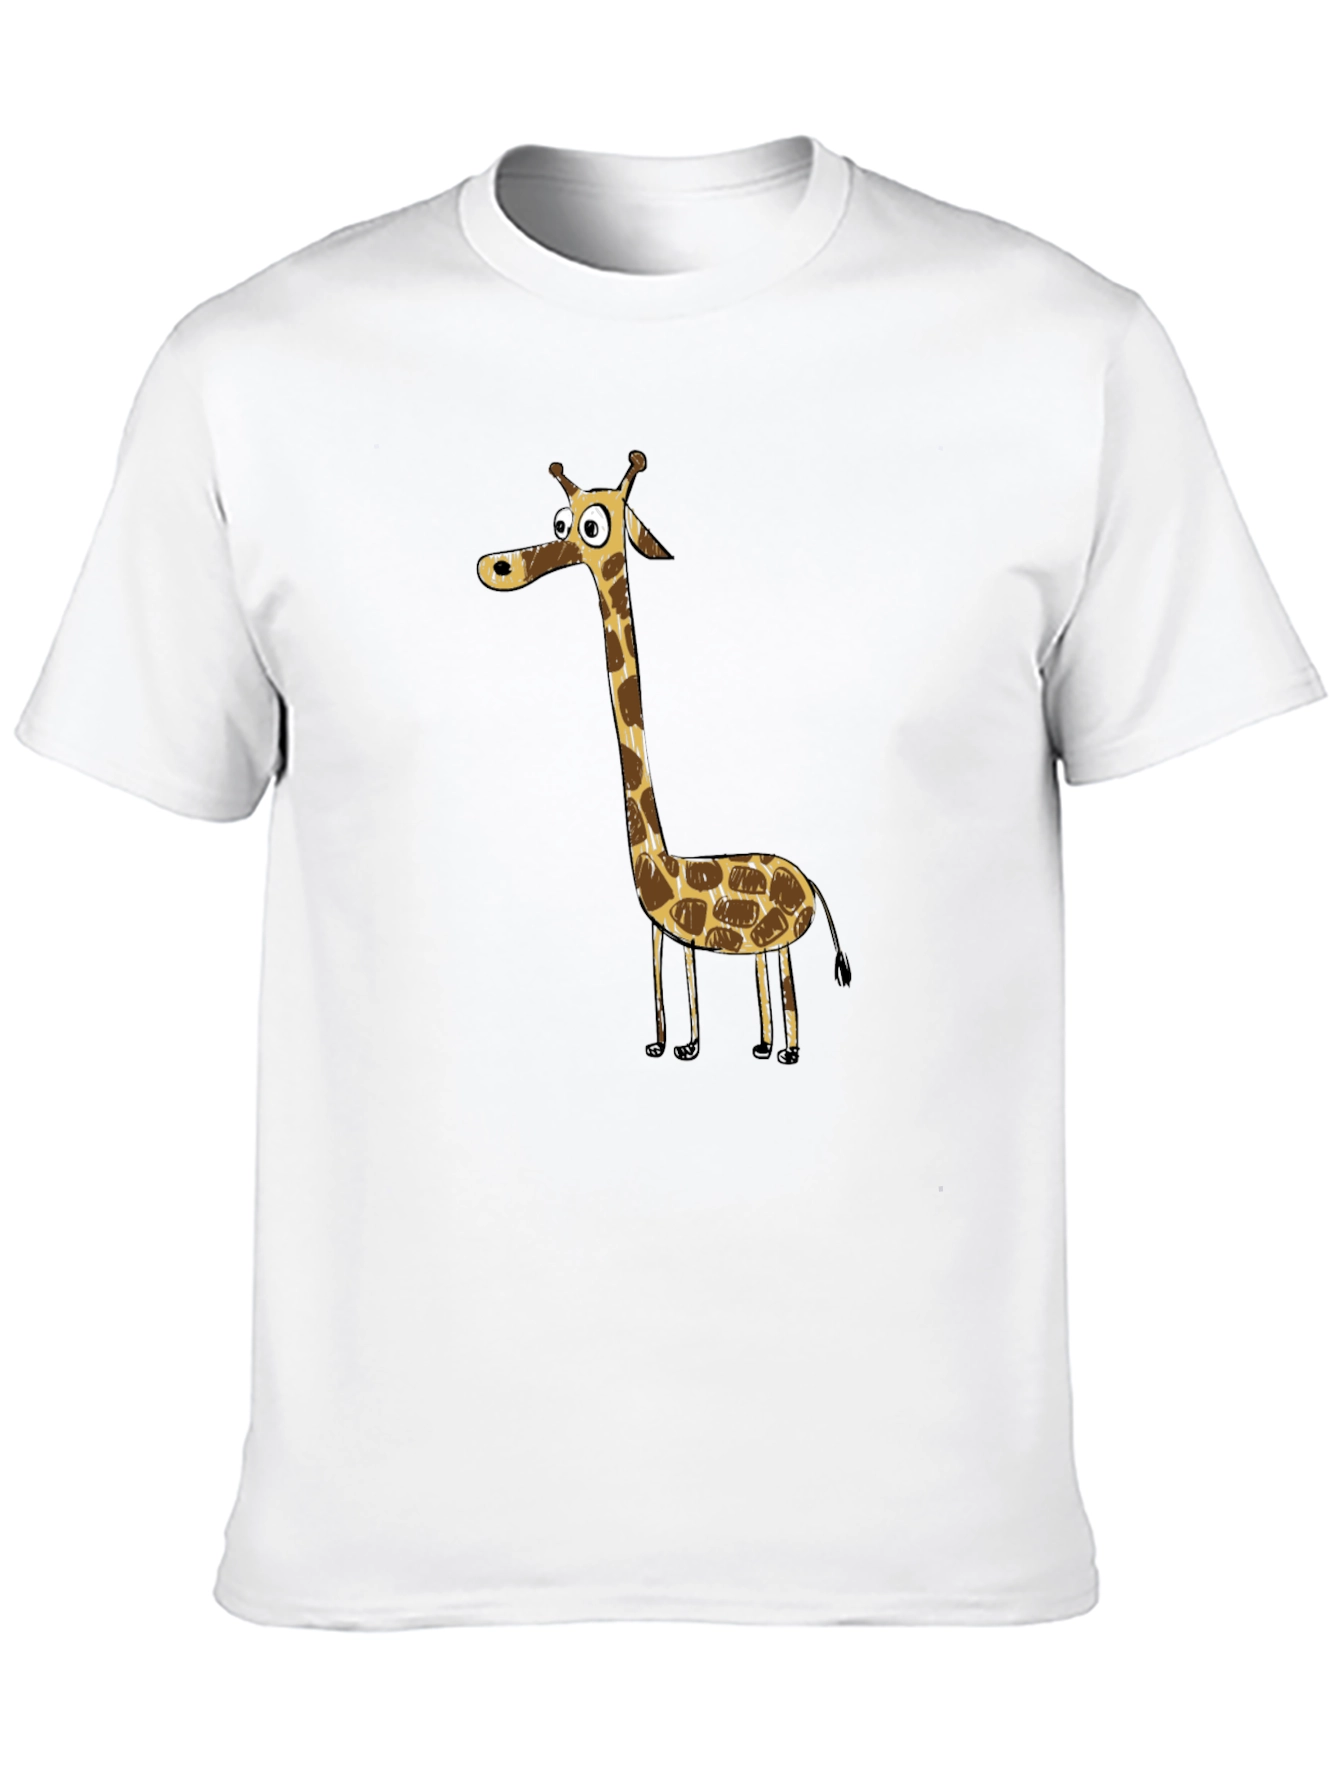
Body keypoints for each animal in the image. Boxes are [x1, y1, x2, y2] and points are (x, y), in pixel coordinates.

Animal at [476, 451, 851, 1063]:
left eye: (591, 527)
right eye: (559, 520)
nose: (499, 566)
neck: (664, 862)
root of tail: (813, 880)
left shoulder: (683, 927)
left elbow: (687, 976)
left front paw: (690, 1047)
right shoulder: (661, 928)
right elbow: (662, 974)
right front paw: (662, 1044)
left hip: (785, 937)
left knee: (785, 974)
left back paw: (789, 1051)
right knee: (765, 973)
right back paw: (762, 1044)